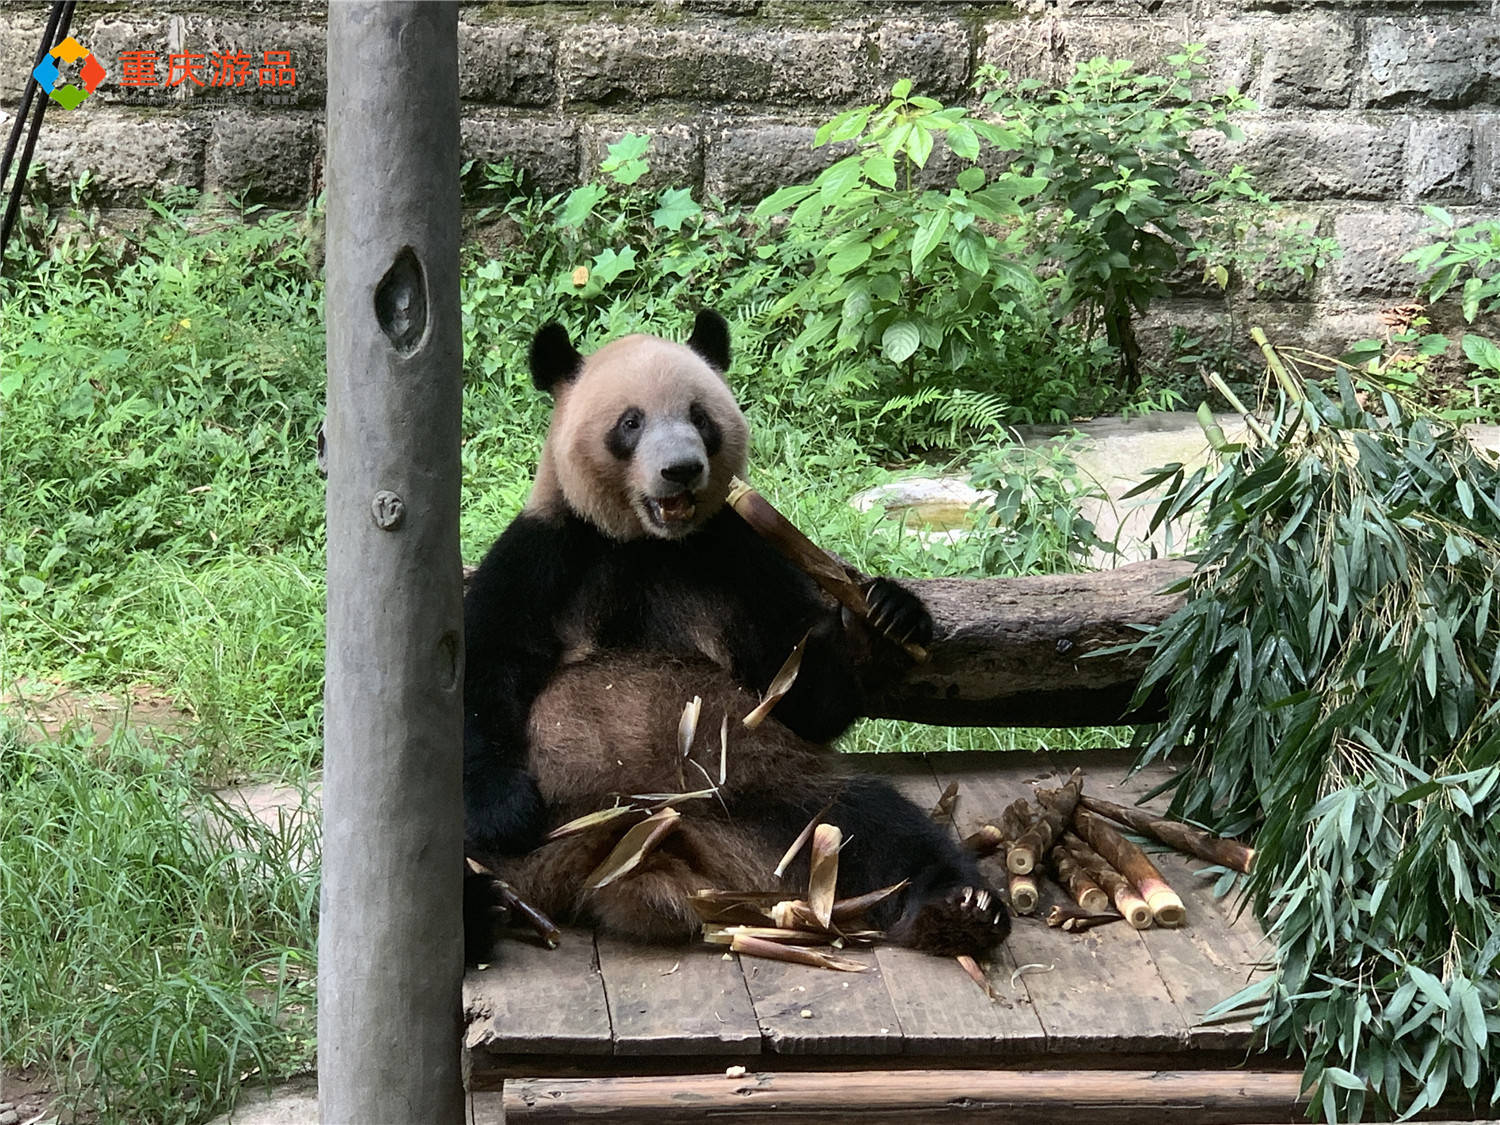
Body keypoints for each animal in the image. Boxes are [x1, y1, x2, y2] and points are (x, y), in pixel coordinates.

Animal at [465, 315, 1008, 960]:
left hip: (763, 798)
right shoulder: (549, 551)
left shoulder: (735, 556)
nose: (681, 468)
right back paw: (481, 907)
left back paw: (959, 908)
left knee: (868, 822)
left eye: (700, 417)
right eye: (631, 423)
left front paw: (885, 619)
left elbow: (802, 691)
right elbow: (484, 672)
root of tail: (630, 853)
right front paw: (505, 810)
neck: (650, 543)